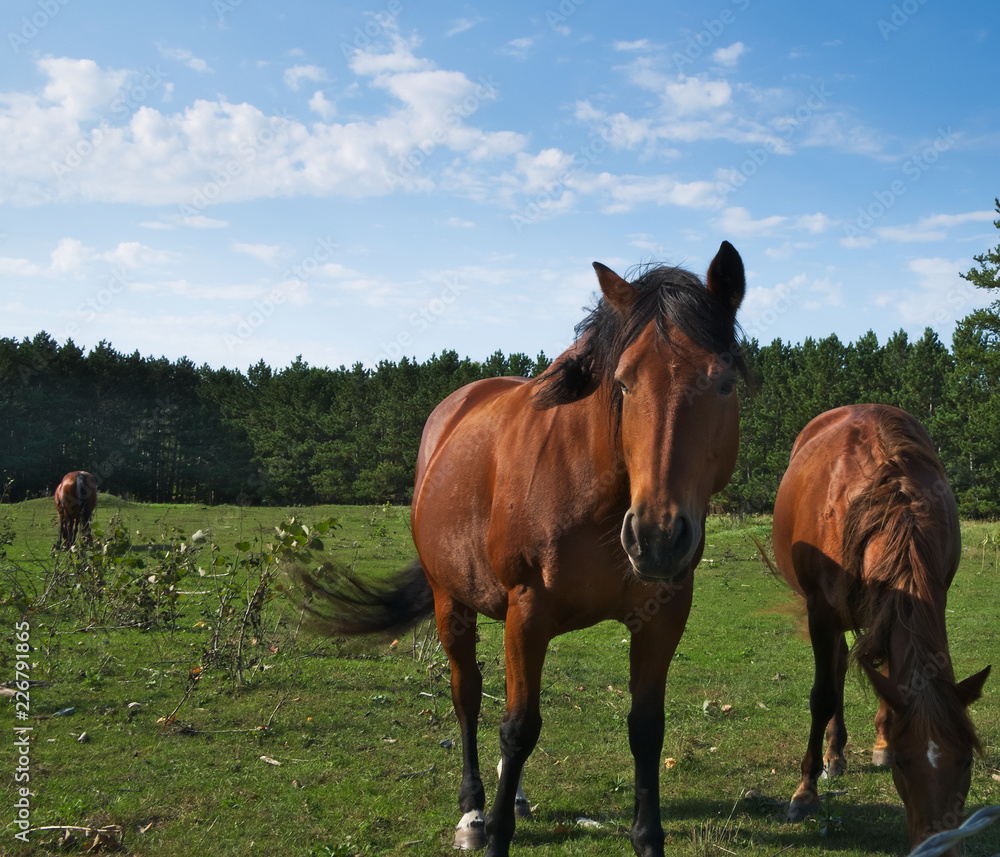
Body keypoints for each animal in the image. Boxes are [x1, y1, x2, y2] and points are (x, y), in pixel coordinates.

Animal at [292, 241, 748, 856]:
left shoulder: (662, 615)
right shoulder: (526, 610)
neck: (595, 494)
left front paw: (647, 839)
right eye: (624, 383)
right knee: (468, 695)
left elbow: (645, 729)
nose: (655, 537)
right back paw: (474, 812)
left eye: (723, 383)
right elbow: (516, 727)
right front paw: (495, 833)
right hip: (452, 603)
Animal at [768, 404, 988, 852]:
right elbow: (822, 696)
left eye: (967, 761)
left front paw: (883, 740)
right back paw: (832, 756)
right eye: (905, 765)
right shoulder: (821, 612)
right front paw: (805, 791)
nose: (939, 847)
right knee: (835, 671)